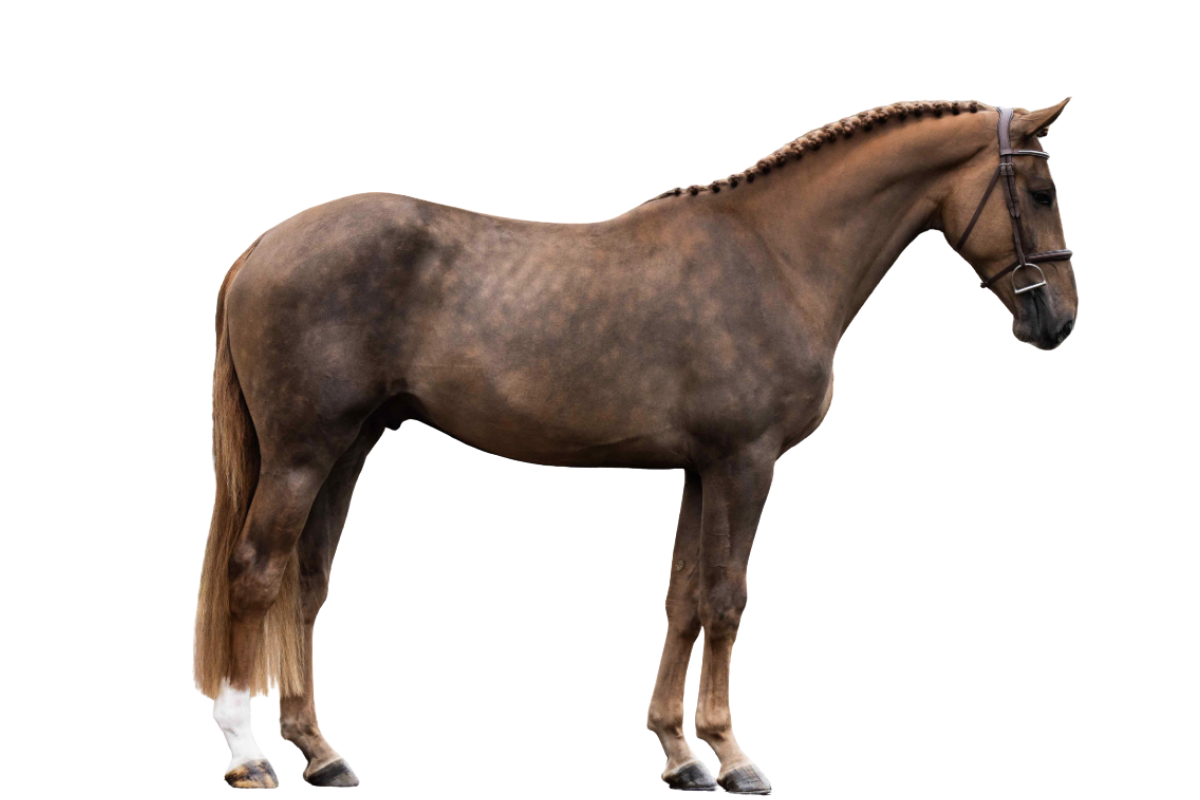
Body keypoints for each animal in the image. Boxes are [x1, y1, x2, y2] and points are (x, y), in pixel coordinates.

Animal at [194, 97, 1076, 791]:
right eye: (1040, 190)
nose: (1058, 321)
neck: (774, 254)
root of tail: (262, 247)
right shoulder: (746, 464)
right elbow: (726, 598)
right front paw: (733, 757)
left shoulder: (702, 468)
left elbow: (682, 597)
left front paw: (680, 754)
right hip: (303, 454)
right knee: (256, 573)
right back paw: (251, 756)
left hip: (348, 448)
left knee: (306, 583)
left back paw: (320, 751)